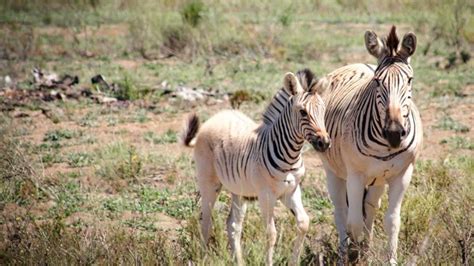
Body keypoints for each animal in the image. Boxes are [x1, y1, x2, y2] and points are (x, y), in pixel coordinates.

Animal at [181, 69, 330, 264]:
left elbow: (304, 223)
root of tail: (217, 116)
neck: (290, 156)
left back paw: (239, 262)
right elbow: (271, 234)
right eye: (303, 112)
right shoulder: (266, 195)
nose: (324, 143)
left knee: (233, 225)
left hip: (238, 190)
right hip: (209, 184)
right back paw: (204, 259)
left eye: (324, 111)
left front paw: (294, 262)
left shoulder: (291, 191)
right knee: (206, 223)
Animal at [318, 26, 422, 262]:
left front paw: (386, 259)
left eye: (410, 80)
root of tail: (355, 64)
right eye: (377, 81)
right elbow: (354, 223)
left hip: (378, 179)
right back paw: (343, 255)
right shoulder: (355, 175)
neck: (385, 146)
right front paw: (355, 255)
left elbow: (392, 221)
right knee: (341, 212)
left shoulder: (403, 174)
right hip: (334, 171)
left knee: (371, 208)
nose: (394, 133)